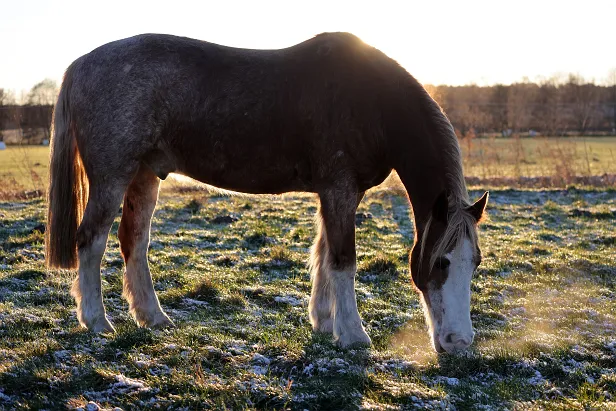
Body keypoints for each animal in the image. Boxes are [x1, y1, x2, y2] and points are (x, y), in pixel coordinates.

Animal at [45, 32, 488, 354]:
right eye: (442, 262)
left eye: (476, 263)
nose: (459, 343)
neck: (371, 102)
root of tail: (81, 64)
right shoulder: (340, 190)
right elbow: (343, 259)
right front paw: (353, 335)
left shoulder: (335, 194)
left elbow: (323, 255)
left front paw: (323, 322)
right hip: (112, 177)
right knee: (91, 240)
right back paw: (97, 321)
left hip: (143, 174)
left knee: (133, 242)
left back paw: (152, 317)